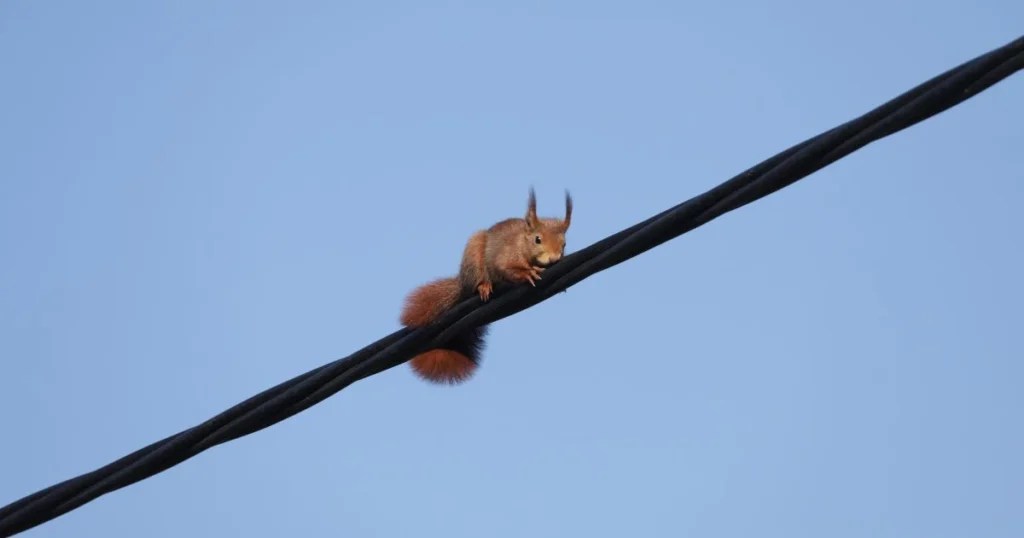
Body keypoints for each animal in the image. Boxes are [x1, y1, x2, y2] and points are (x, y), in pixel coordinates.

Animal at [399, 188, 573, 385]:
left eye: (564, 244)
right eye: (538, 239)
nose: (554, 258)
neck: (522, 243)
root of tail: (462, 284)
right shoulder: (505, 256)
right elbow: (506, 268)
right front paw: (526, 273)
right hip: (475, 257)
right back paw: (483, 286)